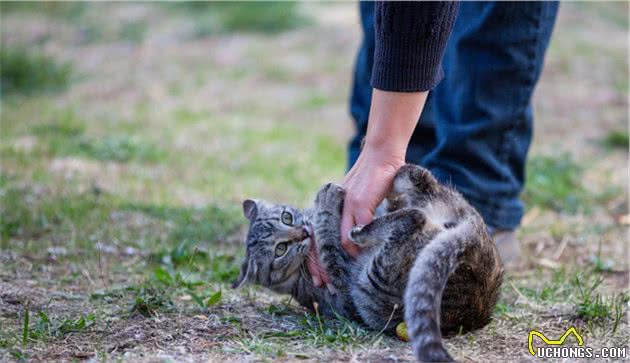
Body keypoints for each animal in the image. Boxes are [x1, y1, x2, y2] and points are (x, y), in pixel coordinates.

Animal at [235, 165, 506, 363]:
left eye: (286, 217)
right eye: (280, 249)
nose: (303, 233)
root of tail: (473, 235)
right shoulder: (339, 278)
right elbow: (327, 236)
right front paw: (326, 203)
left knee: (415, 177)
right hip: (373, 282)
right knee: (413, 218)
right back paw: (362, 229)